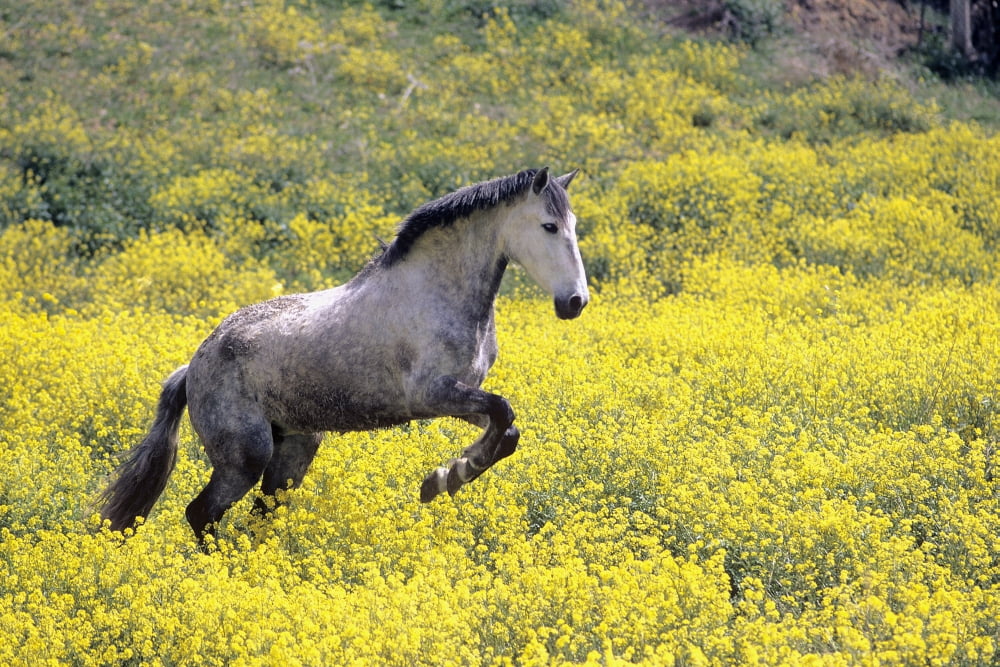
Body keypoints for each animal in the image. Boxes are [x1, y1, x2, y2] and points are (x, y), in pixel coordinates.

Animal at [98, 167, 589, 542]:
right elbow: (503, 412)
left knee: (260, 514)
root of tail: (193, 366)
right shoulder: (430, 395)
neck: (435, 292)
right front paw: (442, 480)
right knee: (201, 514)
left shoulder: (461, 397)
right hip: (245, 456)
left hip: (293, 450)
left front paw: (447, 475)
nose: (575, 302)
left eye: (574, 226)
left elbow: (507, 430)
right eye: (548, 226)